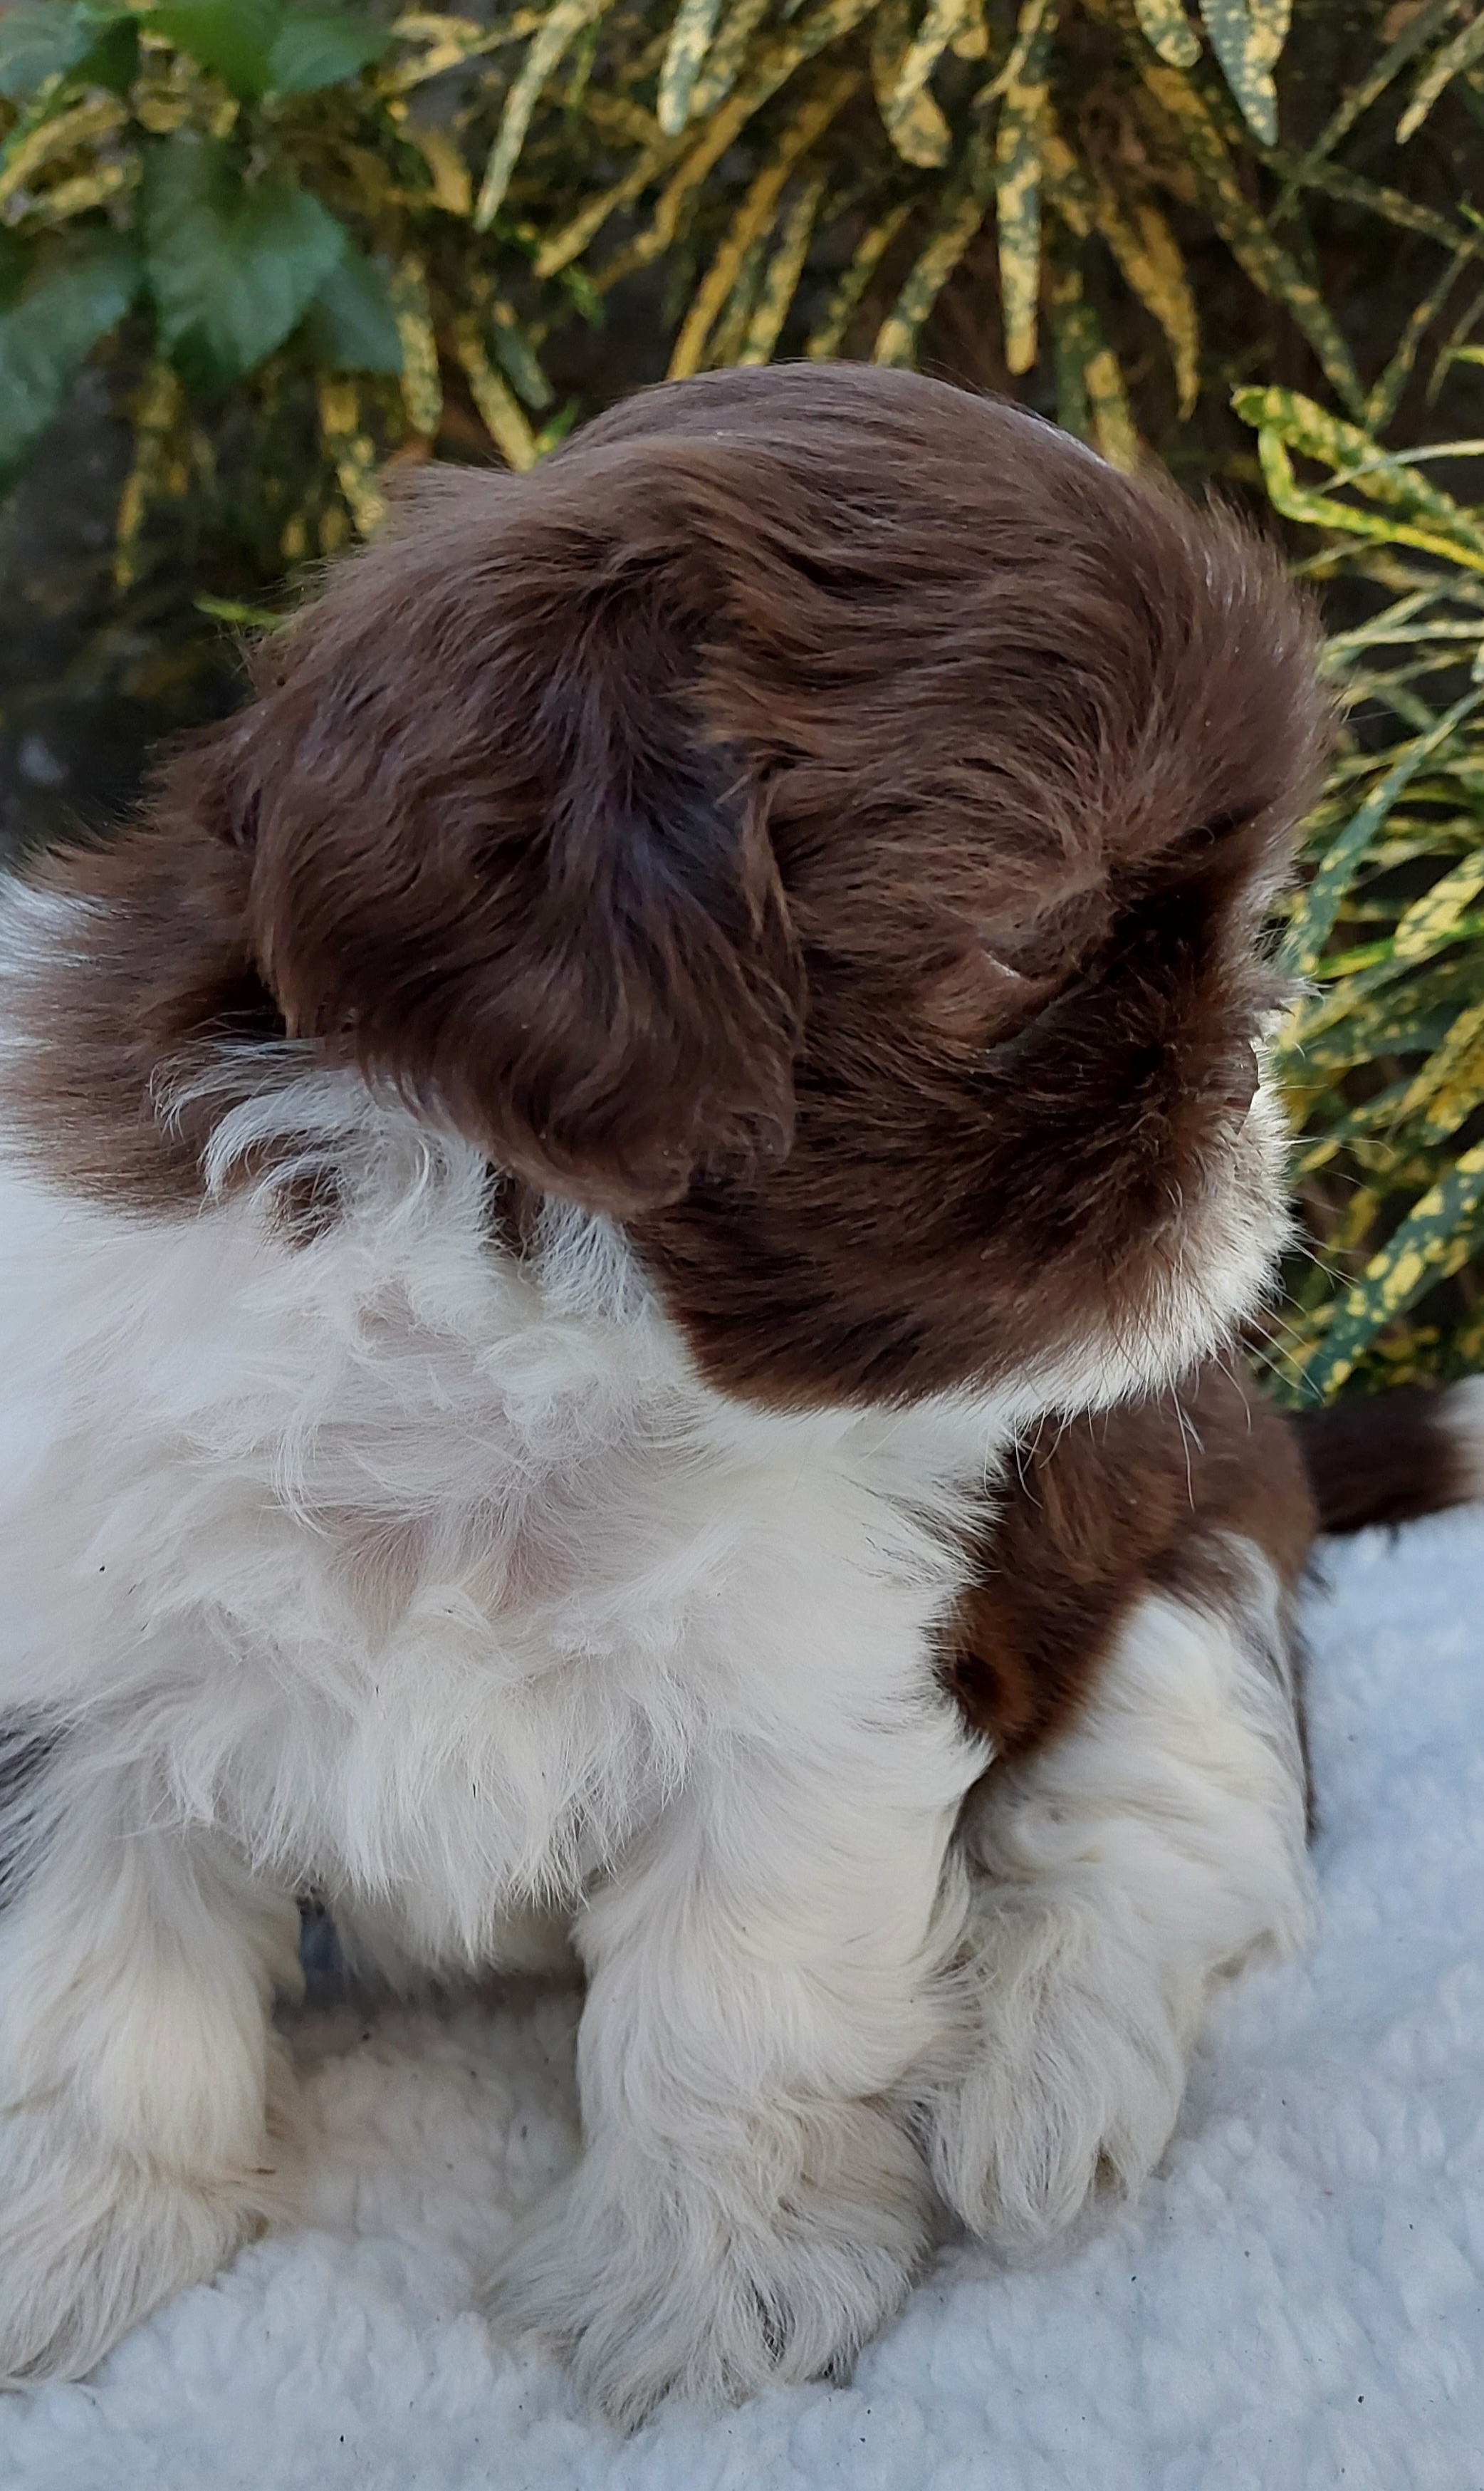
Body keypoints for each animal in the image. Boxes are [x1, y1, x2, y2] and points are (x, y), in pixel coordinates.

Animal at [0, 361, 1464, 2421]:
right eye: (1034, 940)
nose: (1255, 1092)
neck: (519, 1331)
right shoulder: (88, 1641)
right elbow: (92, 1978)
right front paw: (70, 2239)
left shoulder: (811, 1701)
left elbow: (734, 2006)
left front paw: (709, 2289)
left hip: (1173, 1511)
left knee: (1175, 1791)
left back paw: (1037, 2064)